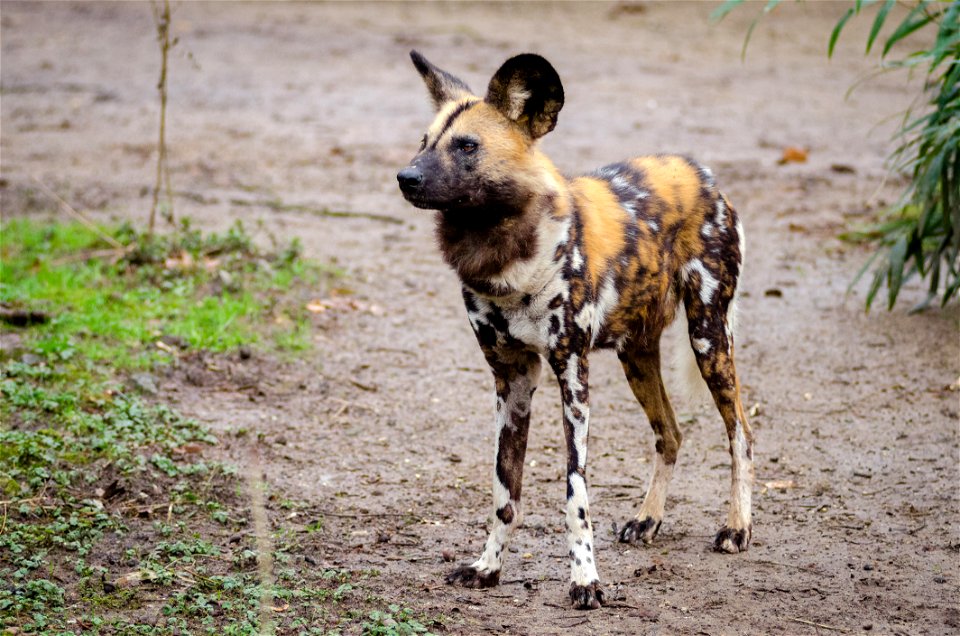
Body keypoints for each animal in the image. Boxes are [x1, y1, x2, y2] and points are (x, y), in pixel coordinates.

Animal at [394, 53, 752, 612]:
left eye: (467, 146)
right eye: (424, 141)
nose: (405, 177)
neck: (504, 258)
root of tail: (703, 174)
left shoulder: (572, 376)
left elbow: (574, 496)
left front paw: (585, 580)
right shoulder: (512, 381)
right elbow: (505, 493)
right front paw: (488, 567)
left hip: (708, 337)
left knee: (741, 432)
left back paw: (736, 527)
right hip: (636, 354)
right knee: (670, 433)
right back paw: (648, 519)